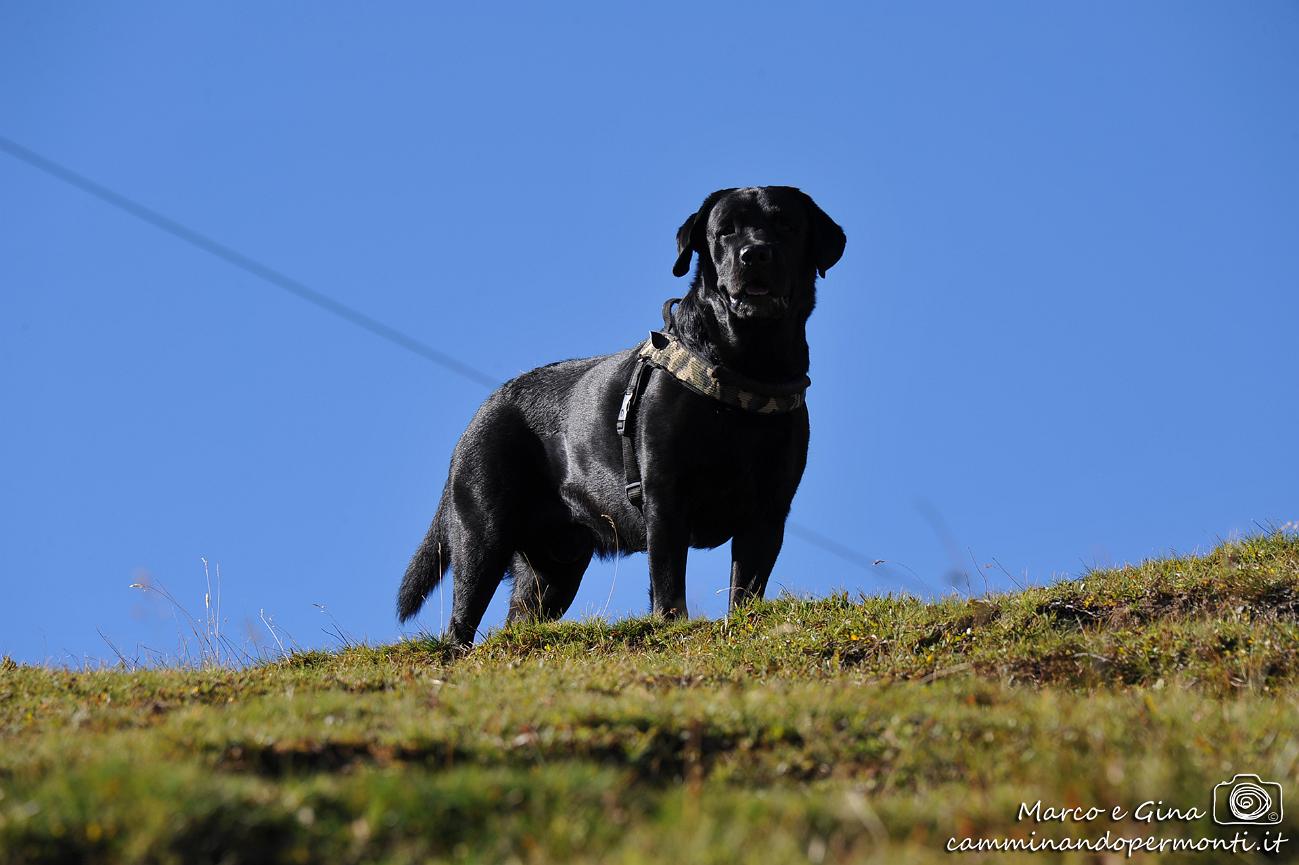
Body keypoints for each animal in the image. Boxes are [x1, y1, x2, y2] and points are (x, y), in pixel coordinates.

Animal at [397, 185, 841, 639]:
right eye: (724, 232)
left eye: (785, 224)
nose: (755, 253)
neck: (746, 364)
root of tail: (480, 413)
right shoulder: (664, 497)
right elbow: (668, 581)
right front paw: (671, 624)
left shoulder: (768, 512)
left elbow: (746, 590)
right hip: (481, 530)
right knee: (461, 619)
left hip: (555, 566)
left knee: (521, 613)